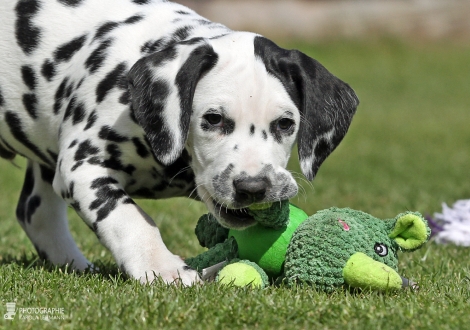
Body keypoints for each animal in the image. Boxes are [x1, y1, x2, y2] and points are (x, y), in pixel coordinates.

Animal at [0, 0, 360, 284]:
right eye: (213, 119)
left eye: (285, 123)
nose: (253, 187)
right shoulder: (82, 166)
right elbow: (130, 219)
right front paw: (162, 267)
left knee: (35, 213)